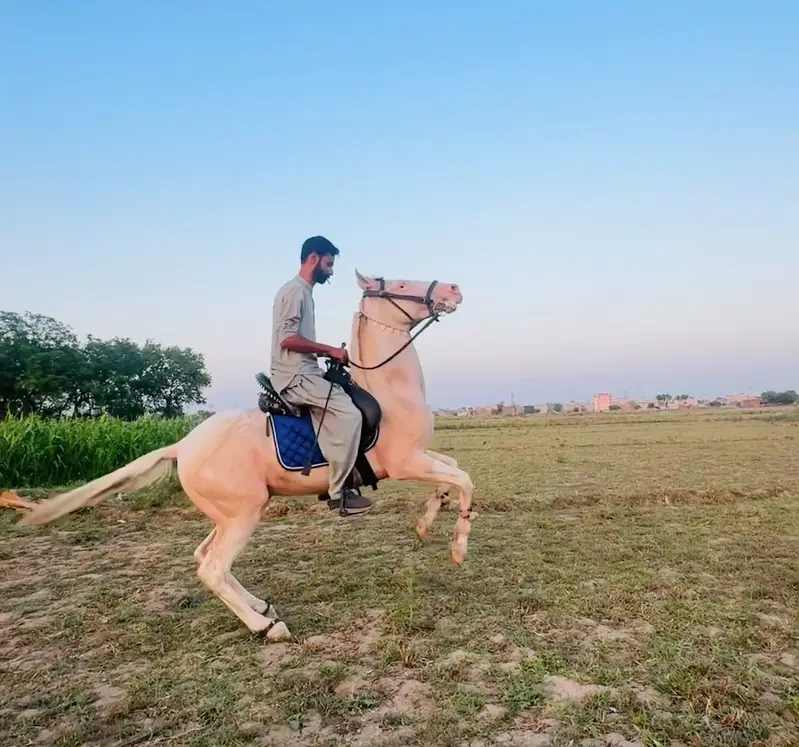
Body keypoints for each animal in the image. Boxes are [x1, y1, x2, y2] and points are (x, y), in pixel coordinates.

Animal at [18, 270, 474, 641]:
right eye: (400, 284)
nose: (453, 289)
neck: (389, 389)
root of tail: (183, 445)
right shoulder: (405, 463)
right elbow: (465, 479)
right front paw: (457, 549)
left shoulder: (419, 456)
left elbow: (453, 471)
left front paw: (427, 522)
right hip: (243, 513)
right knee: (212, 568)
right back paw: (267, 627)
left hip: (226, 515)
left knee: (204, 558)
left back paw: (259, 606)